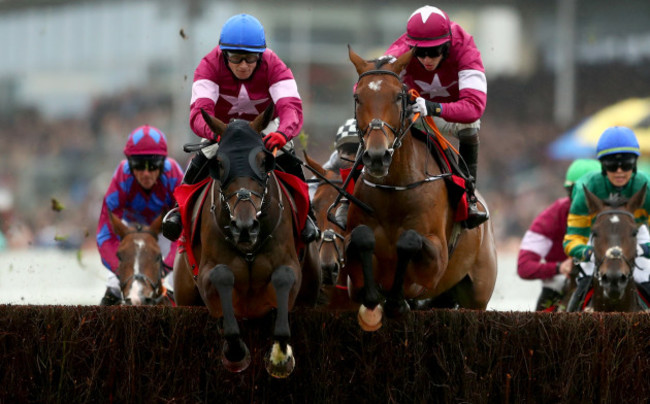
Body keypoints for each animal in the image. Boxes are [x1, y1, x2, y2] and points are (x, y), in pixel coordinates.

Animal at [171, 108, 320, 378]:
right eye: (219, 164)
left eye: (263, 161)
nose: (245, 226)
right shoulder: (207, 272)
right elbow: (221, 277)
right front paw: (236, 352)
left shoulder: (289, 264)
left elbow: (283, 278)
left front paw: (280, 356)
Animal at [344, 45, 496, 332]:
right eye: (357, 97)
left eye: (398, 97)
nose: (377, 156)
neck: (394, 189)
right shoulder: (351, 270)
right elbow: (361, 237)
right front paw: (372, 306)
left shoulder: (437, 259)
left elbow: (410, 241)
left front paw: (396, 300)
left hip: (477, 294)